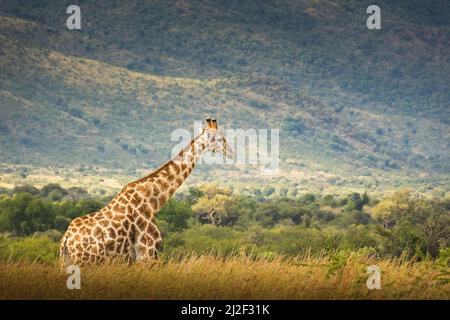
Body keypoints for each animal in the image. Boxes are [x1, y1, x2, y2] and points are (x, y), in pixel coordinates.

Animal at [59, 119, 232, 266]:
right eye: (219, 139)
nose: (230, 152)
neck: (152, 202)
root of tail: (66, 241)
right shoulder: (147, 253)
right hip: (89, 262)